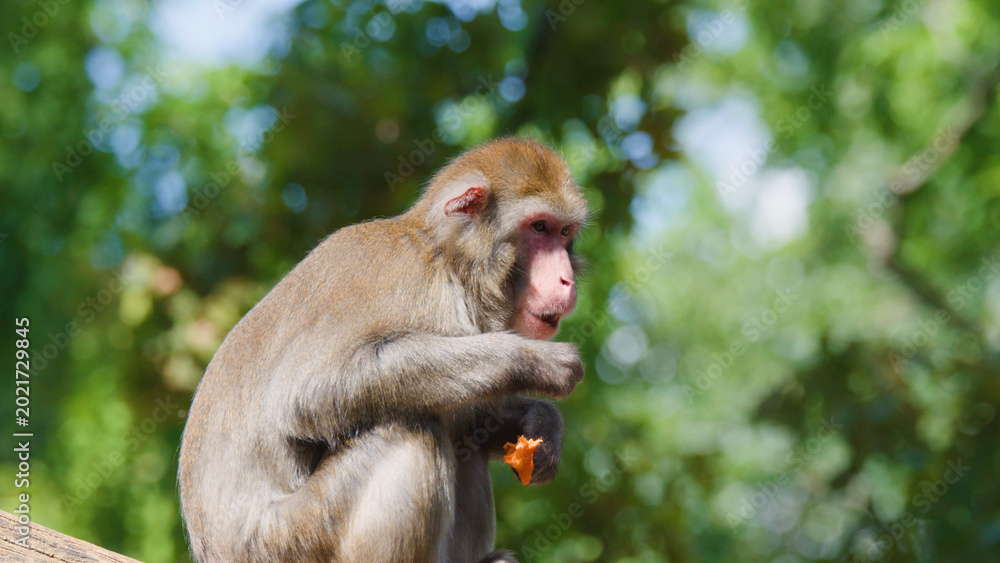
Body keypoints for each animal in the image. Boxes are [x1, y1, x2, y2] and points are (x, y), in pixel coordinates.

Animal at [178, 137, 589, 562]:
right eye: (539, 227)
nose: (566, 279)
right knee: (410, 431)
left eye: (564, 232)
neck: (450, 262)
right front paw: (533, 362)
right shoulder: (409, 281)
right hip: (294, 538)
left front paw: (542, 421)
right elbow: (305, 394)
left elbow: (471, 419)